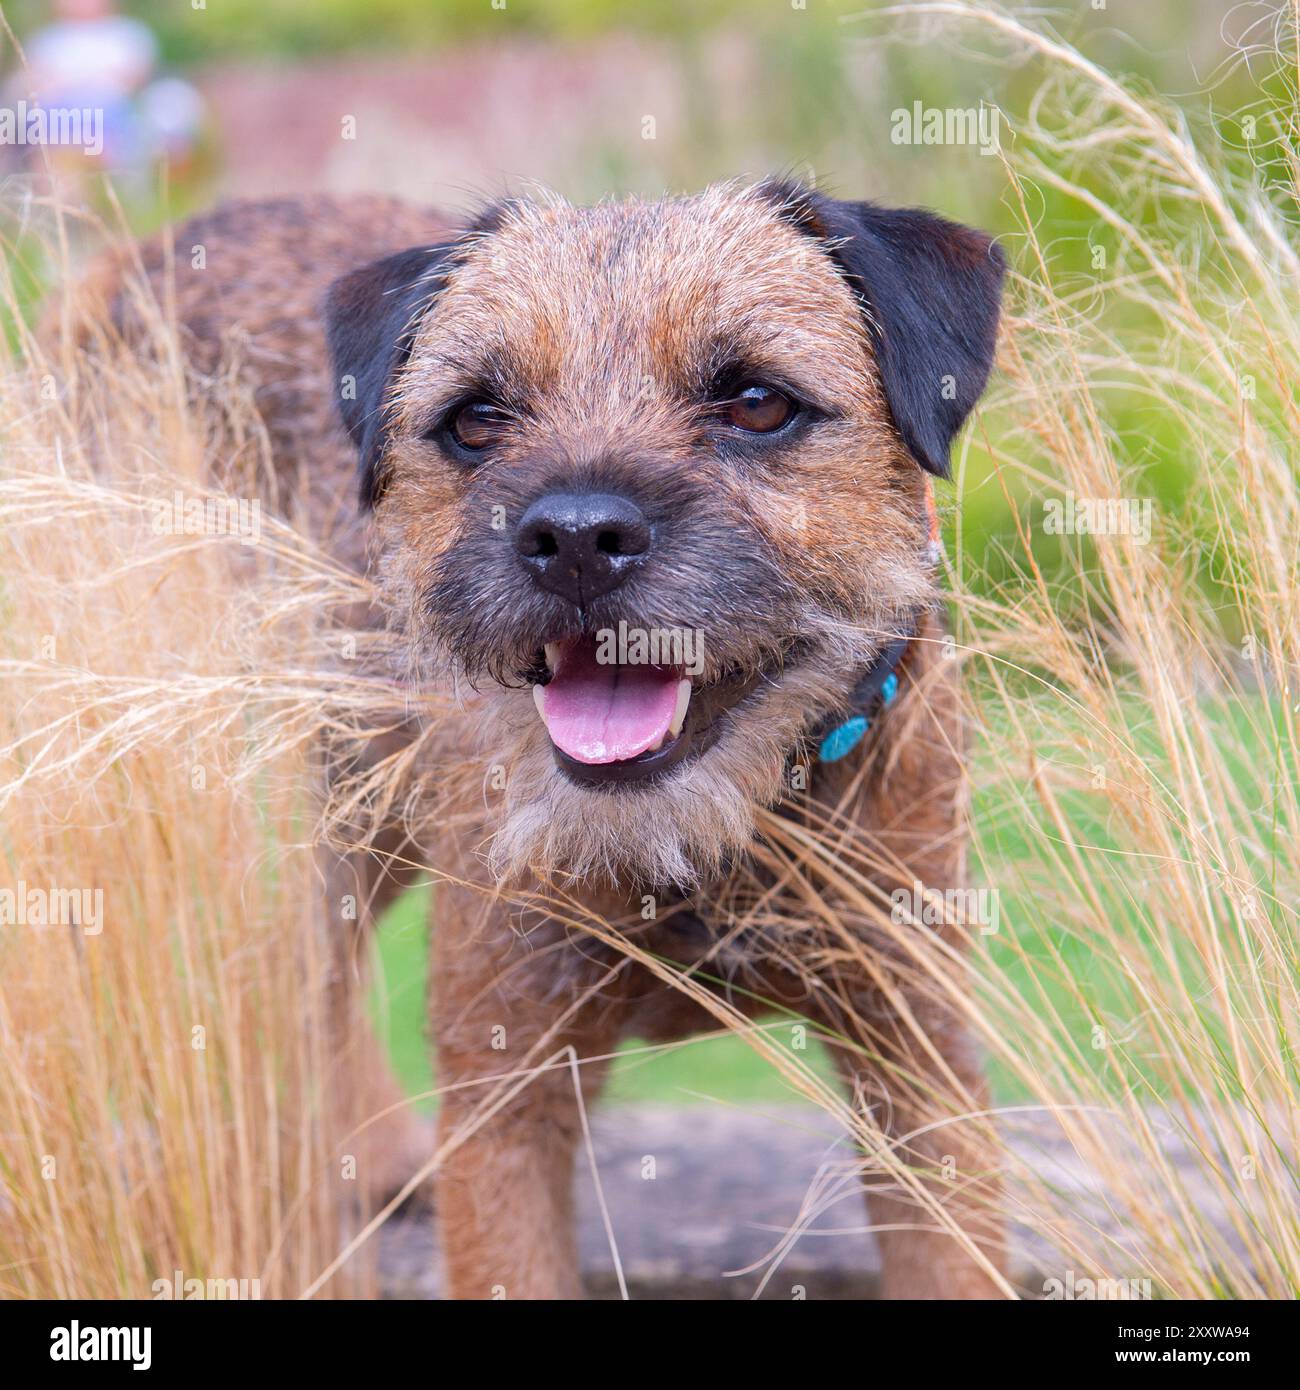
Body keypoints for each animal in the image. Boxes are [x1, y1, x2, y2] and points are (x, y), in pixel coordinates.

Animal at [86, 179, 1006, 1295]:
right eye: (477, 419)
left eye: (756, 402)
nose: (573, 537)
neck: (700, 849)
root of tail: (141, 253)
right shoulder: (505, 1099)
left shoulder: (923, 1078)